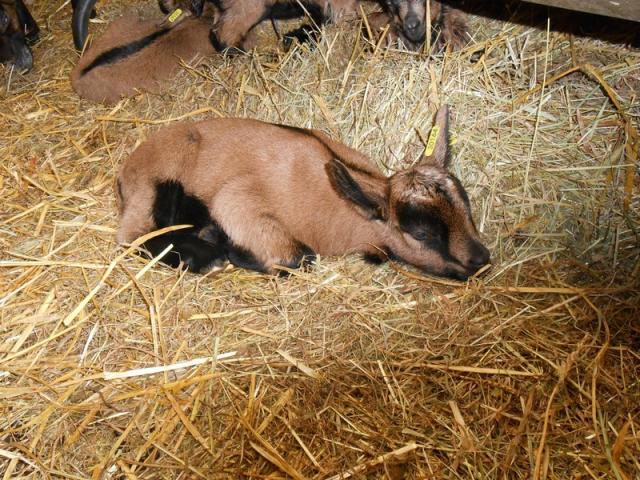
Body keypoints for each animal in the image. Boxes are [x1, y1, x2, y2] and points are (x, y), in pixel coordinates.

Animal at [117, 105, 492, 278]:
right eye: (421, 232)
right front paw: (228, 249)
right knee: (134, 234)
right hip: (158, 183)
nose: (481, 260)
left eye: (468, 209)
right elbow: (298, 257)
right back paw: (205, 255)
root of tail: (127, 170)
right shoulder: (238, 199)